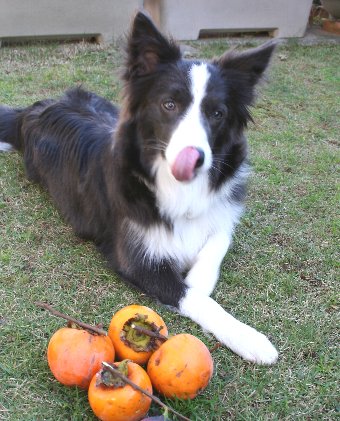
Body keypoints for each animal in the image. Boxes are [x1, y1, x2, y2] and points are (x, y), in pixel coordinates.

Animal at [0, 11, 278, 362]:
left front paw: (199, 277)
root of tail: (34, 109)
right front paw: (250, 338)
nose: (195, 158)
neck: (175, 187)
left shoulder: (222, 210)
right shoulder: (136, 259)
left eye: (217, 113)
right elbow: (193, 296)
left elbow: (218, 239)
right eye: (169, 105)